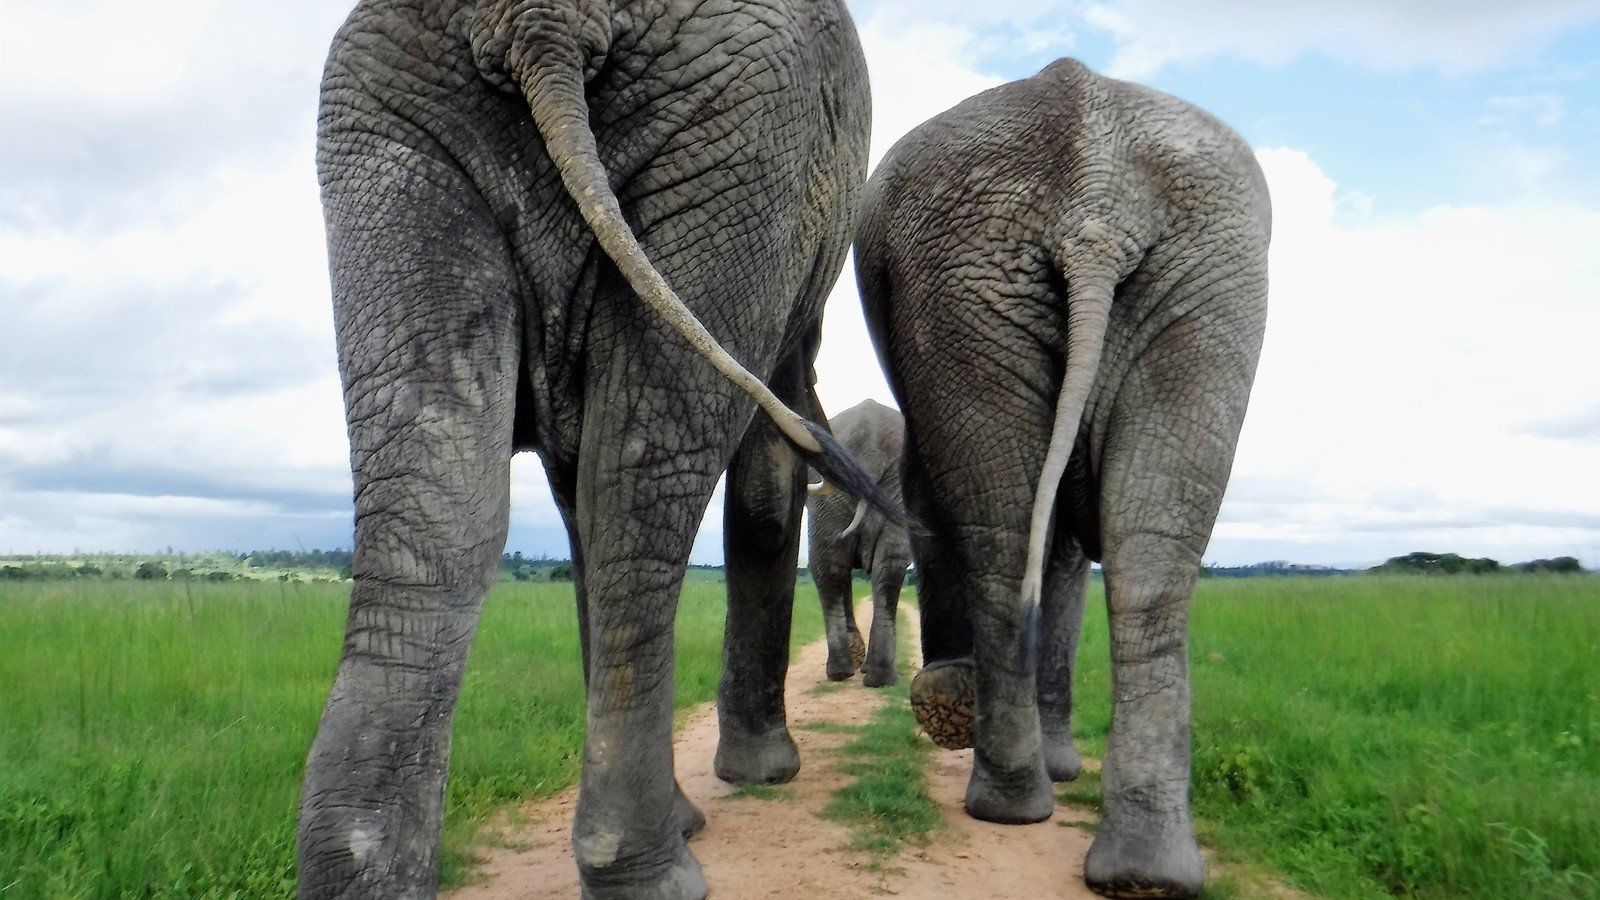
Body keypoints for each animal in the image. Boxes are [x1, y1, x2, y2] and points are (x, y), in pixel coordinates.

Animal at [295, 1, 879, 897]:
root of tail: (540, 23)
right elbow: (762, 486)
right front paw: (763, 779)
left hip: (392, 116)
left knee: (441, 499)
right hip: (743, 130)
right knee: (635, 486)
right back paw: (656, 871)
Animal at [854, 58, 1270, 898]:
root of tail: (1095, 201)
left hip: (1152, 275)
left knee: (1092, 546)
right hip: (1049, 277)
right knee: (1109, 547)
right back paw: (1088, 843)